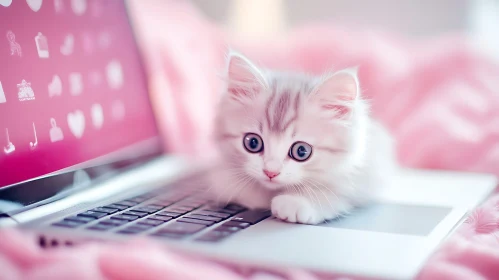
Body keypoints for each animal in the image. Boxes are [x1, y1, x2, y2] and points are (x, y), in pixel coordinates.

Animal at [209, 51, 396, 224]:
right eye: (253, 143)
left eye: (302, 151)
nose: (270, 172)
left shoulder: (366, 177)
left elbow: (337, 193)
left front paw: (295, 202)